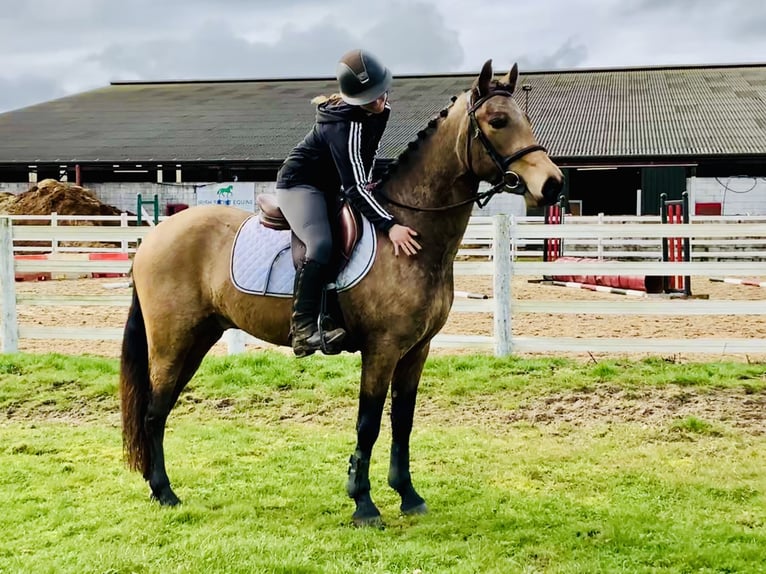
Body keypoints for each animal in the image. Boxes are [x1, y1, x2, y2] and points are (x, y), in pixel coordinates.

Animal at [120, 60, 564, 526]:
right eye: (497, 121)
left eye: (524, 118)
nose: (553, 184)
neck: (412, 232)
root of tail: (153, 237)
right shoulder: (382, 349)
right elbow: (368, 423)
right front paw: (363, 503)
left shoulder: (416, 349)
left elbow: (402, 420)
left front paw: (408, 494)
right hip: (172, 342)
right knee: (154, 412)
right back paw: (164, 491)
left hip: (198, 339)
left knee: (162, 408)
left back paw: (158, 487)